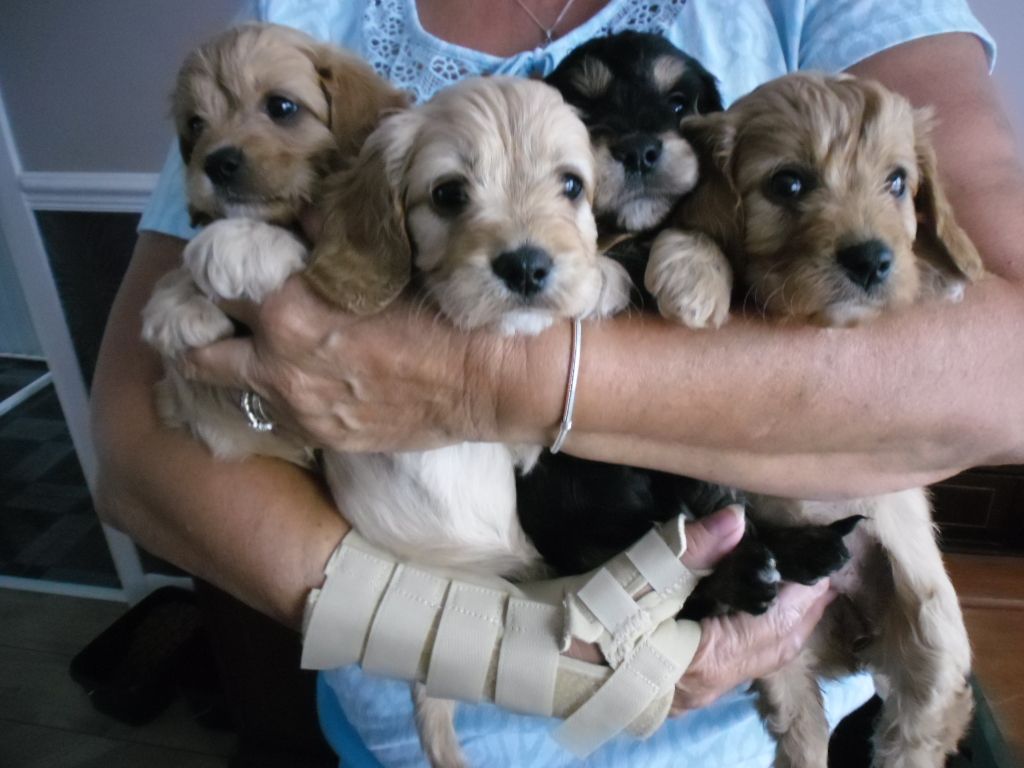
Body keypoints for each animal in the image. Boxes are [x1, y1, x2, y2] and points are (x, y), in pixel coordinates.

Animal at [647, 72, 983, 768]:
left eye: (898, 182)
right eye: (790, 184)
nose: (872, 260)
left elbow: (928, 276)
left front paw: (942, 276)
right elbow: (699, 228)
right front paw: (692, 272)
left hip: (934, 636)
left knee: (918, 729)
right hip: (782, 666)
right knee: (804, 736)